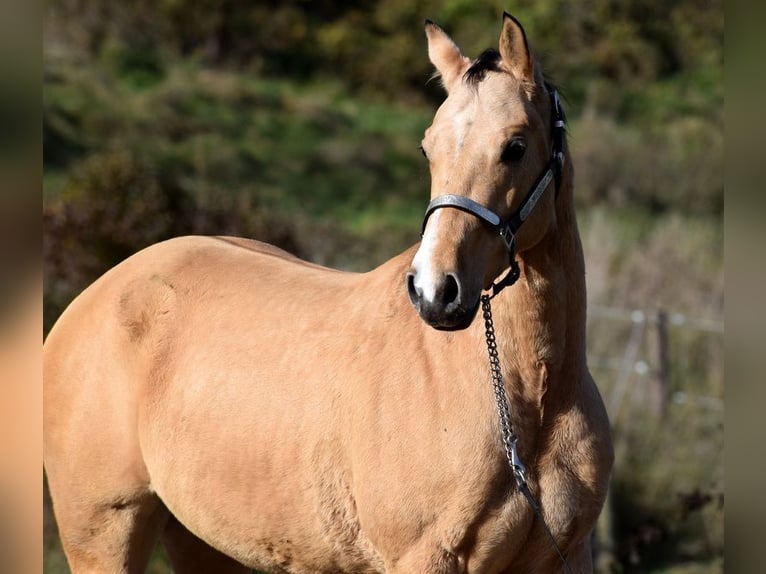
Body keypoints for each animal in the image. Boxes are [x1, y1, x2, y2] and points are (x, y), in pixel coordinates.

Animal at [43, 12, 613, 574]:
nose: (435, 291)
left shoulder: (568, 557)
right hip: (105, 531)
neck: (530, 403)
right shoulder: (426, 557)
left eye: (515, 147)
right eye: (427, 147)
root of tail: (87, 301)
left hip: (203, 541)